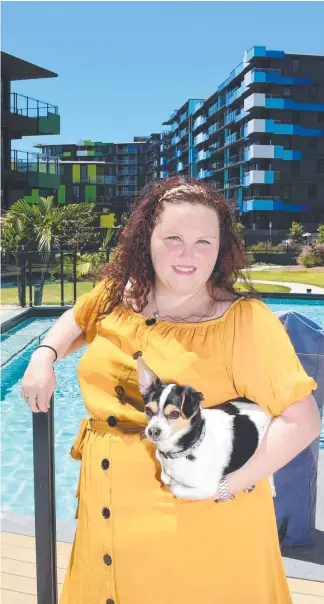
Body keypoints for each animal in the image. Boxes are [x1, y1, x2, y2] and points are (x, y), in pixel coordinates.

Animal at [137, 358, 276, 500]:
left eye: (174, 414)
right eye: (148, 410)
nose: (152, 431)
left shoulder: (206, 489)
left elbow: (175, 488)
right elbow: (164, 475)